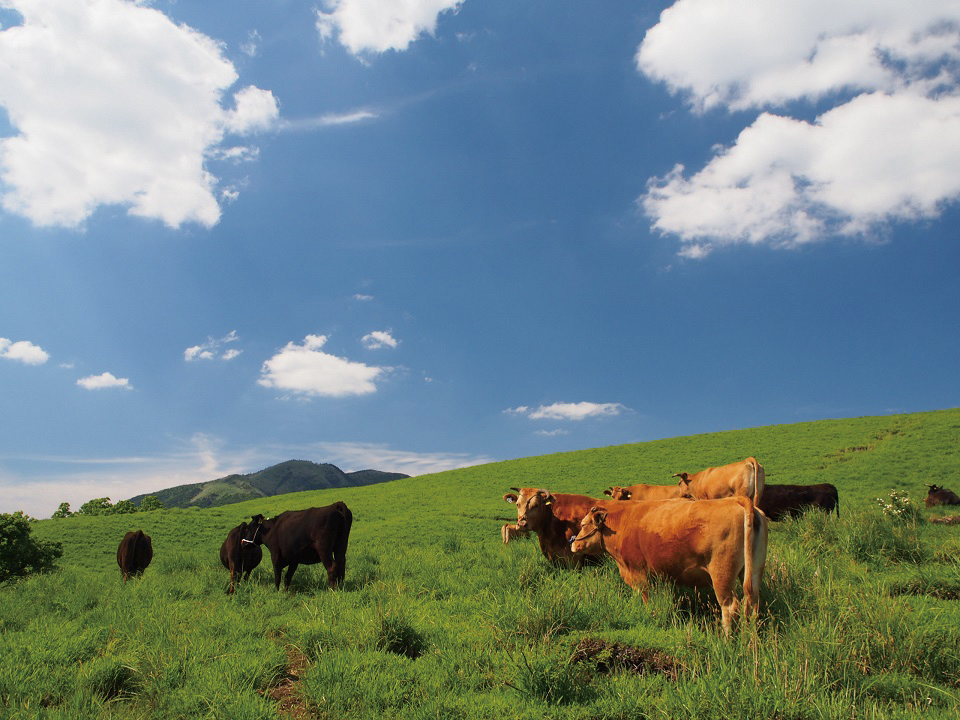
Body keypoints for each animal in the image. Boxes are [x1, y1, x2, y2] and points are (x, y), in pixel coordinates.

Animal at [568, 498, 768, 632]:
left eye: (583, 524)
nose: (573, 544)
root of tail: (737, 500)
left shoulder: (638, 572)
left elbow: (645, 598)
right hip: (754, 571)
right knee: (753, 604)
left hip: (722, 575)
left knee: (730, 607)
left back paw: (727, 641)